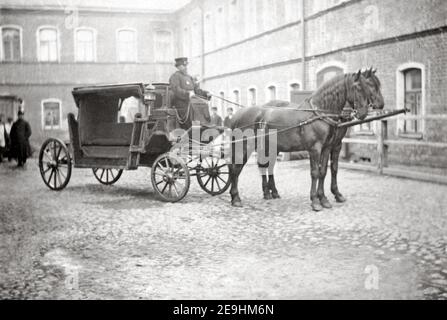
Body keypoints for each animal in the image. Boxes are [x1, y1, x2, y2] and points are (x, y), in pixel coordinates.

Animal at [231, 70, 384, 210]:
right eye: (359, 87)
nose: (364, 112)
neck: (320, 113)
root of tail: (237, 115)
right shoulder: (315, 149)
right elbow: (315, 172)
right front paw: (315, 201)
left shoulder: (329, 147)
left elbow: (325, 171)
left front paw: (325, 198)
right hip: (245, 146)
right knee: (236, 168)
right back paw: (236, 197)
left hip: (270, 147)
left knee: (265, 166)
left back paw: (269, 193)